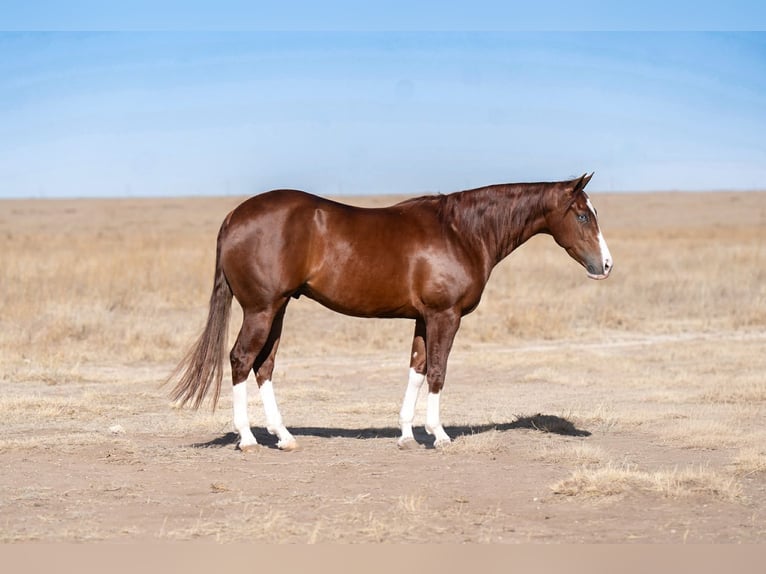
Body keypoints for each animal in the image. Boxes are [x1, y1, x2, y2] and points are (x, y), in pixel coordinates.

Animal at [168, 173, 613, 452]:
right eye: (581, 214)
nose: (605, 265)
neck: (462, 232)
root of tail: (234, 216)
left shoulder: (422, 318)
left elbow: (417, 369)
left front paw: (407, 435)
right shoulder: (444, 316)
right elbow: (437, 372)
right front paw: (439, 435)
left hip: (276, 311)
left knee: (264, 366)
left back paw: (284, 436)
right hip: (261, 310)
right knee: (241, 360)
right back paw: (247, 439)